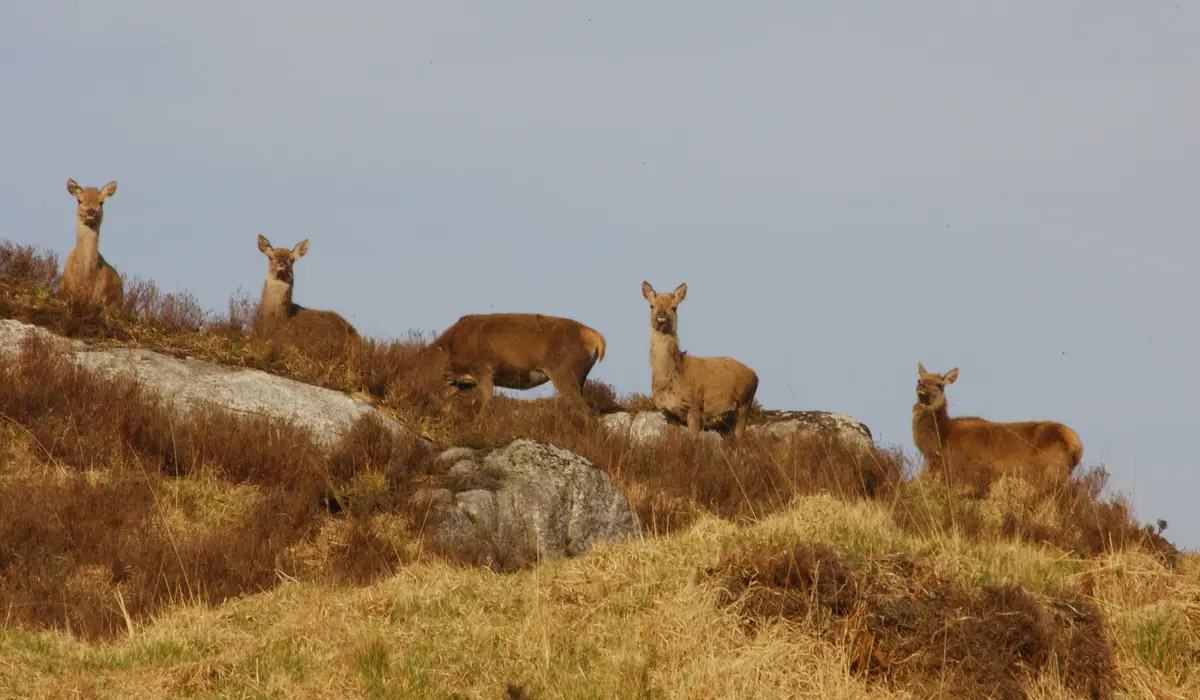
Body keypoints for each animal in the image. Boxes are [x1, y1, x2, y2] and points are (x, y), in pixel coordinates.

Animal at [424, 312, 609, 405]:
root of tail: (597, 340)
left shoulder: (483, 370)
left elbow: (487, 401)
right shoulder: (462, 382)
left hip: (564, 373)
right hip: (578, 378)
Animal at [638, 280, 758, 437]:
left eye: (674, 307)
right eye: (652, 305)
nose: (661, 313)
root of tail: (756, 376)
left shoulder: (694, 407)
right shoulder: (667, 412)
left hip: (745, 404)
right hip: (726, 421)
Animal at [907, 362, 1089, 487]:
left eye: (939, 384)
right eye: (919, 379)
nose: (921, 386)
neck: (938, 443)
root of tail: (1076, 445)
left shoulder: (959, 470)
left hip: (1052, 472)